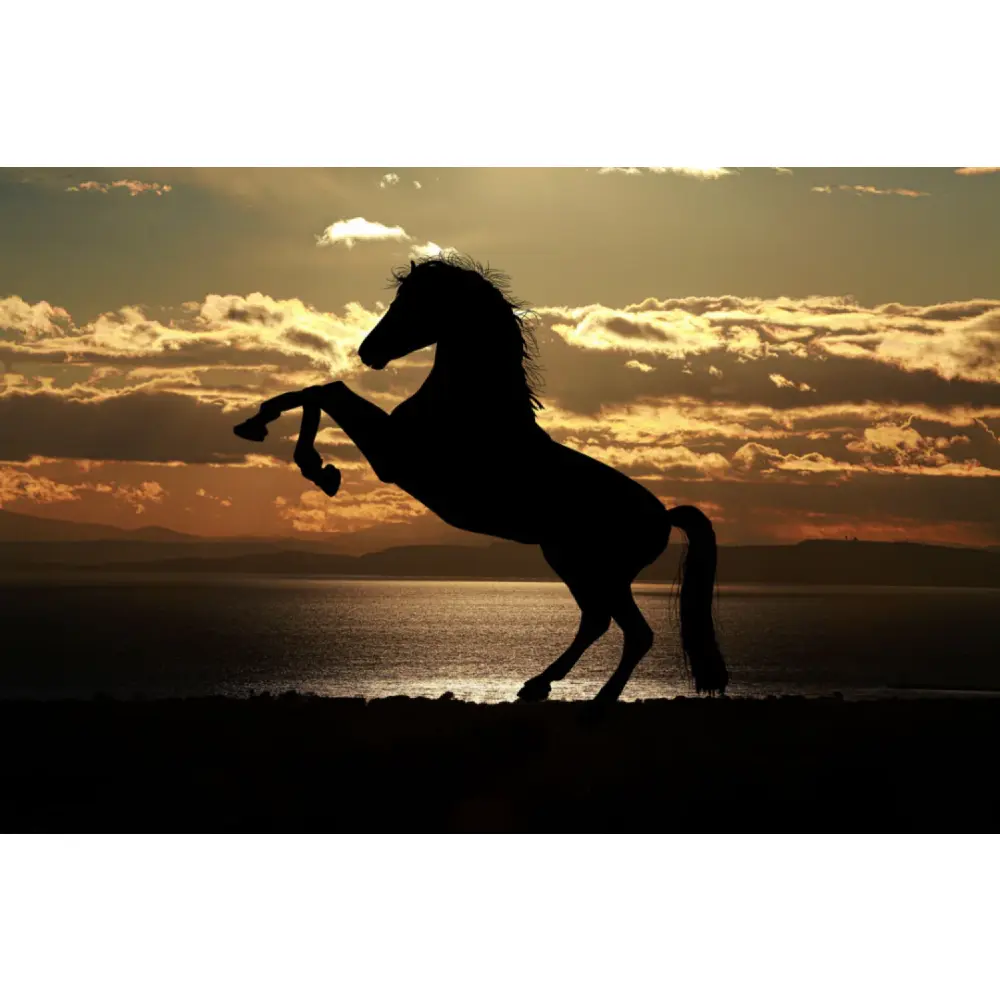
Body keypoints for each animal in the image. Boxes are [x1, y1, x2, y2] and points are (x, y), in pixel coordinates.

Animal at [233, 252, 728, 702]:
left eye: (413, 302)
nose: (367, 352)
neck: (469, 406)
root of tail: (664, 515)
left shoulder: (393, 455)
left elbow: (326, 392)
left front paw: (313, 465)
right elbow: (318, 391)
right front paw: (266, 431)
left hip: (593, 567)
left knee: (630, 630)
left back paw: (595, 700)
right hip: (575, 563)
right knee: (598, 621)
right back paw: (538, 685)